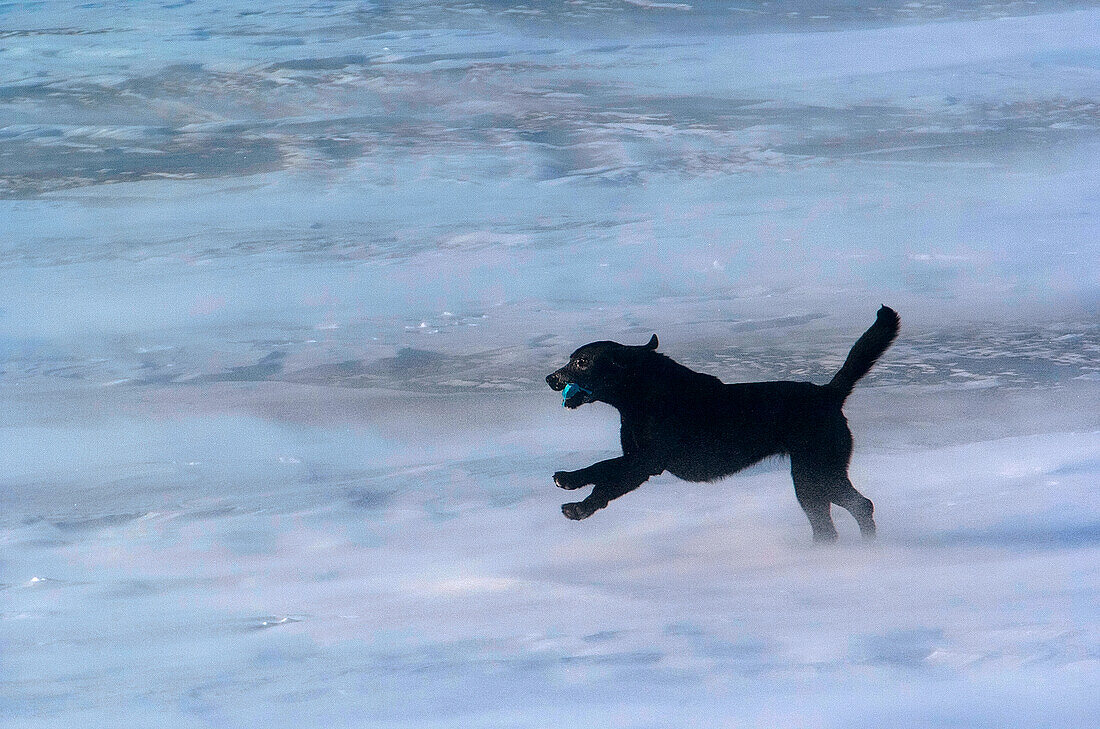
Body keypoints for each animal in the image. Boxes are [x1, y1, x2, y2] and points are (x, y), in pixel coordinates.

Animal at [545, 305, 897, 540]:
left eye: (582, 361)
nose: (550, 378)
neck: (643, 394)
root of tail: (829, 393)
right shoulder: (636, 457)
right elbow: (599, 468)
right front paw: (570, 479)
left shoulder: (646, 462)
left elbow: (607, 478)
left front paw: (579, 506)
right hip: (816, 476)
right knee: (849, 513)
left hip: (814, 473)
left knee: (857, 508)